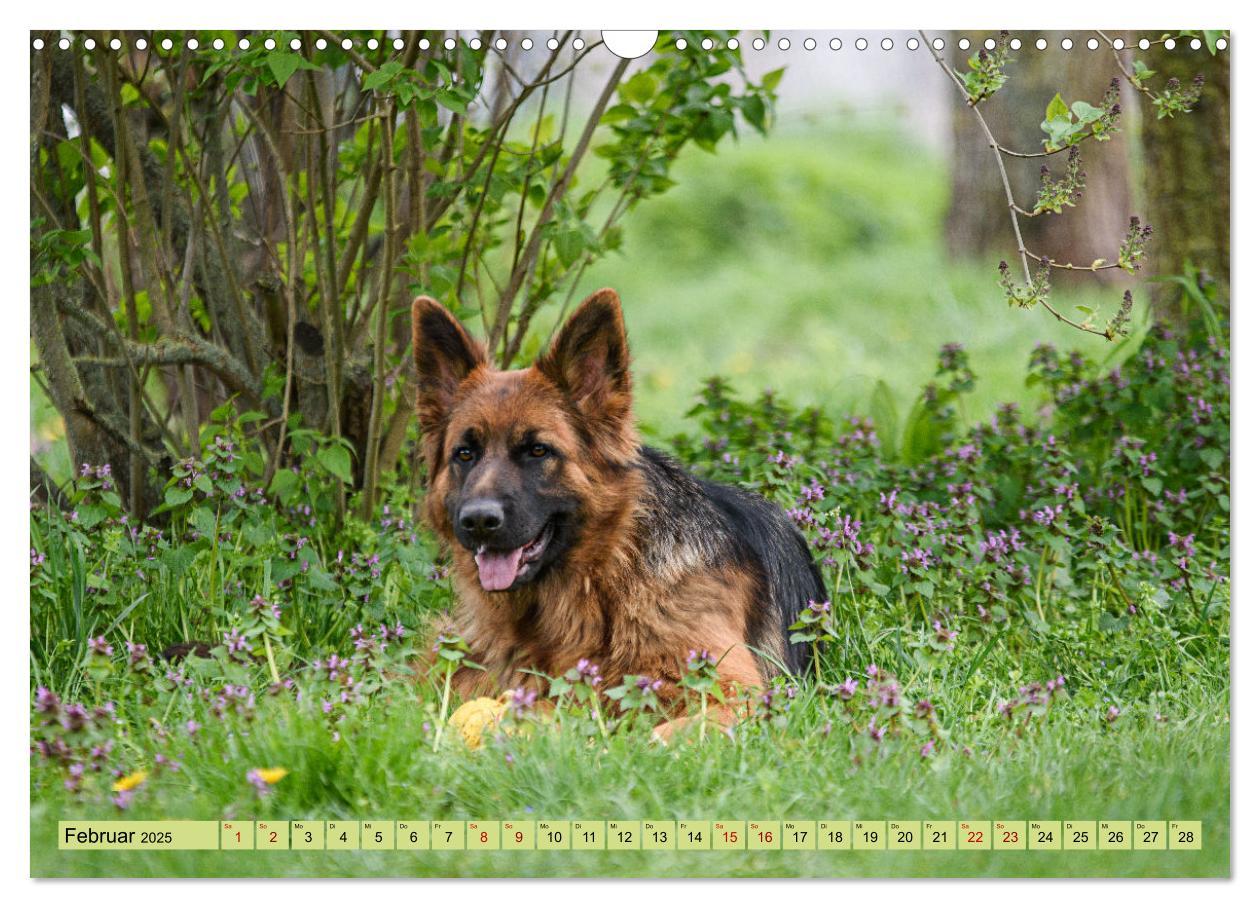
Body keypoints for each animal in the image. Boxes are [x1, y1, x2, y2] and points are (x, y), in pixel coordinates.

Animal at [413, 290, 826, 735]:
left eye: (538, 450)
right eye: (464, 454)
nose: (478, 521)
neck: (605, 578)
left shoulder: (736, 691)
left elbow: (662, 734)